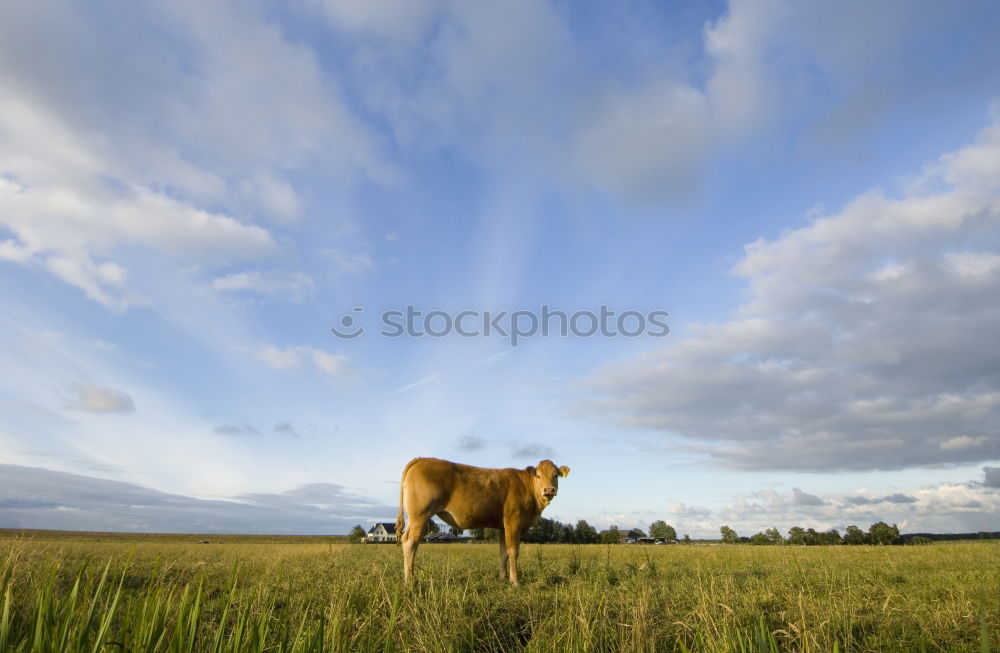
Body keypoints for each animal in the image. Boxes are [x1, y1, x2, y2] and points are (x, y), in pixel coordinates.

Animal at [396, 456, 572, 584]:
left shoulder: (503, 526)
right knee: (410, 542)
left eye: (555, 475)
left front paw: (502, 578)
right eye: (538, 475)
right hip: (420, 514)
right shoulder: (513, 520)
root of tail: (422, 459)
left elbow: (503, 552)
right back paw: (409, 580)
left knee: (407, 540)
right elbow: (513, 550)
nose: (549, 489)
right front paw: (515, 581)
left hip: (417, 517)